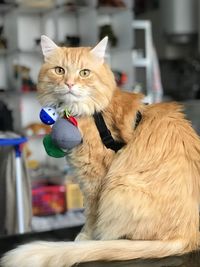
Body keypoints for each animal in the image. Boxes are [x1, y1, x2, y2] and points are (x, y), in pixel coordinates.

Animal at [1, 35, 200, 267]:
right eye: (59, 70)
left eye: (84, 73)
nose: (69, 84)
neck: (87, 112)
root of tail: (189, 236)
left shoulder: (94, 178)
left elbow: (90, 214)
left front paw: (86, 236)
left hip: (119, 187)